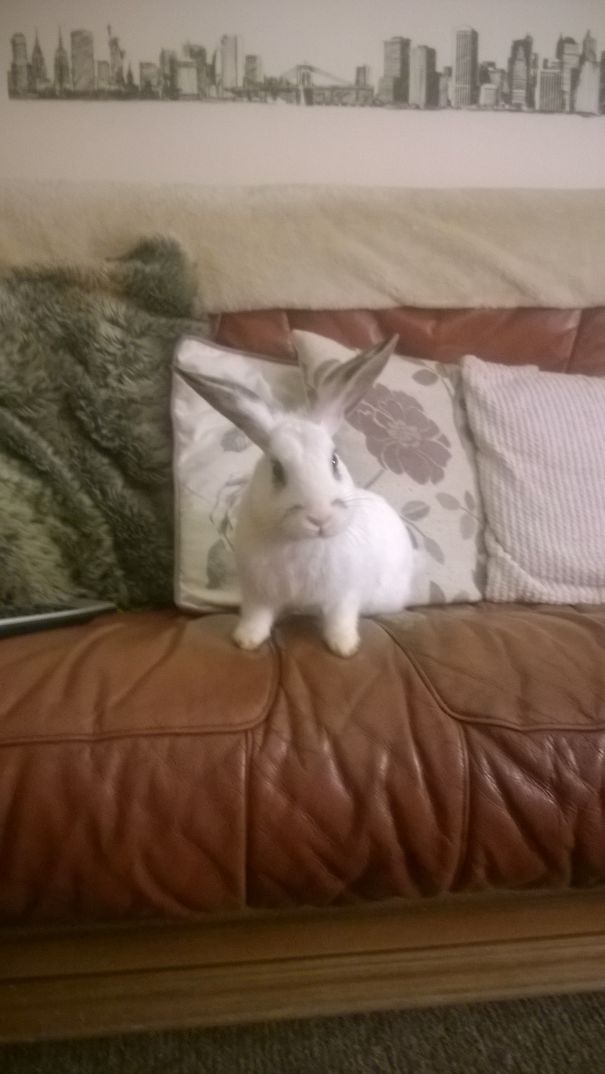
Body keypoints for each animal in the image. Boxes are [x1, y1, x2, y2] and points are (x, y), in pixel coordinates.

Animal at [177, 336, 416, 658]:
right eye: (277, 469)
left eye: (334, 460)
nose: (319, 518)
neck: (304, 542)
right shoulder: (258, 593)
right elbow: (256, 617)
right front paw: (246, 640)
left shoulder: (344, 594)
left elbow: (340, 620)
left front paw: (344, 648)